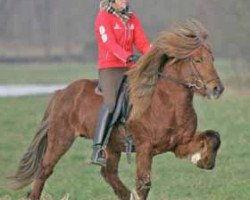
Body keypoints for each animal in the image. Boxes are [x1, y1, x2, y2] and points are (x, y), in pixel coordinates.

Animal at [9, 19, 225, 199]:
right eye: (197, 60)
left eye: (212, 58)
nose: (217, 89)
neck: (166, 102)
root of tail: (62, 92)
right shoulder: (145, 148)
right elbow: (143, 184)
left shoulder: (178, 144)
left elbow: (213, 136)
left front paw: (202, 160)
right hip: (61, 139)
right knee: (44, 170)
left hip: (112, 146)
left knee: (108, 173)